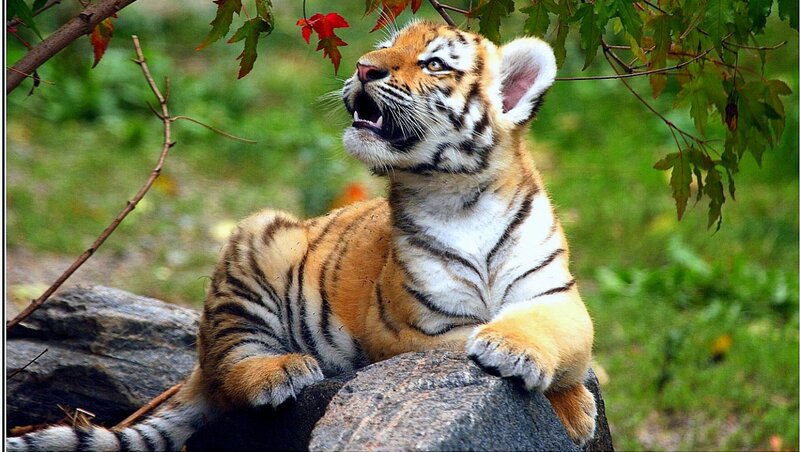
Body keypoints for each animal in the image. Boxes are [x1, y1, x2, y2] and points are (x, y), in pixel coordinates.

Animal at [7, 20, 596, 451]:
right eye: (386, 46)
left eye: (433, 63)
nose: (364, 67)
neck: (461, 196)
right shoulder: (414, 328)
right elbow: (465, 340)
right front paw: (555, 395)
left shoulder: (557, 296)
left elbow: (562, 340)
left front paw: (564, 400)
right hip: (256, 246)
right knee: (228, 369)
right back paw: (282, 371)